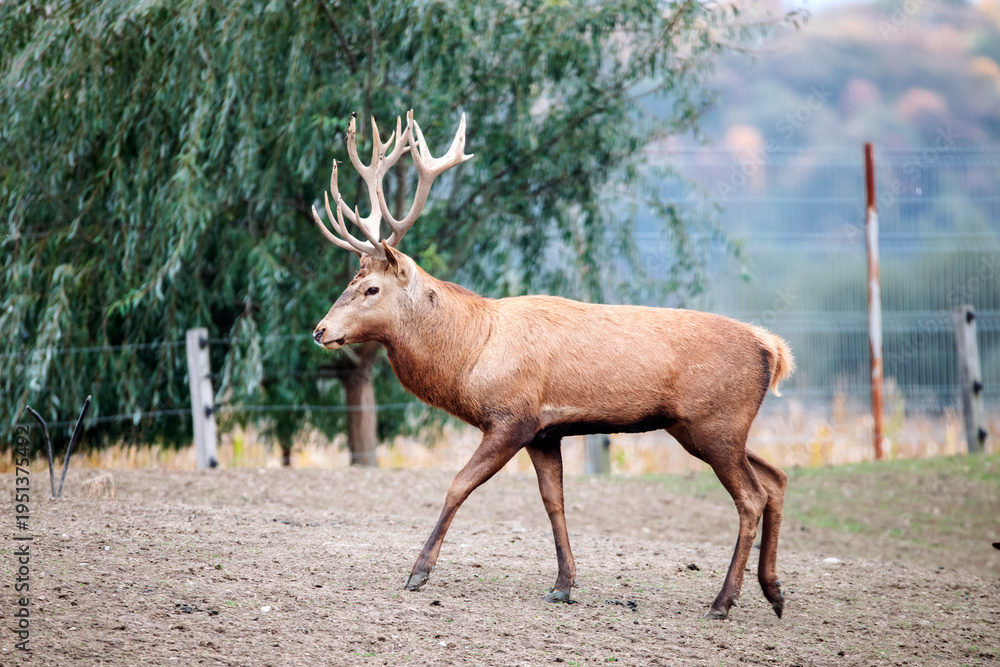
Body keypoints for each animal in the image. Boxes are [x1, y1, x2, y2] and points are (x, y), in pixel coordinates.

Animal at [309, 110, 795, 620]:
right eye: (350, 282)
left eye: (371, 289)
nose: (320, 330)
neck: (470, 355)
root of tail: (772, 349)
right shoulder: (545, 432)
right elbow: (553, 502)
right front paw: (563, 584)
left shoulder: (511, 417)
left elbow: (458, 486)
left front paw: (418, 573)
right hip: (710, 428)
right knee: (776, 478)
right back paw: (774, 592)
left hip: (714, 422)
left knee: (751, 496)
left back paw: (723, 602)